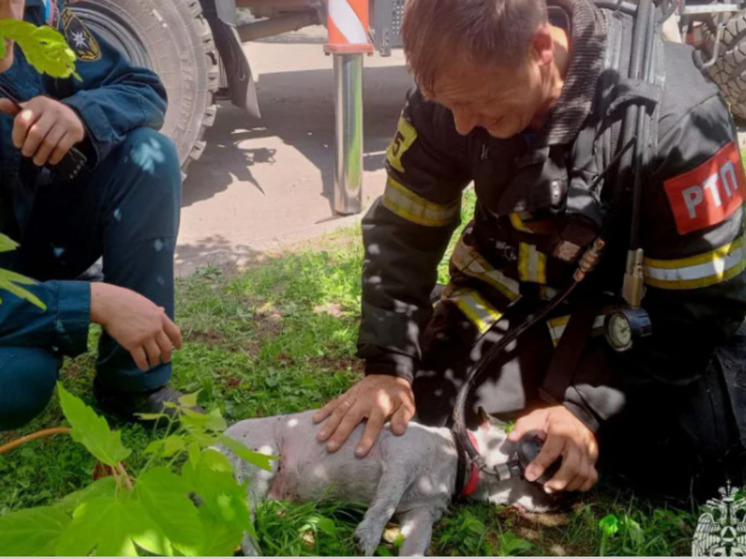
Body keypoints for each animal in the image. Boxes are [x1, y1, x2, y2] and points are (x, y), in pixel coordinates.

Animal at [224, 410, 556, 556]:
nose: (559, 500)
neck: (457, 456)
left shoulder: (421, 514)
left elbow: (416, 546)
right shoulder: (401, 461)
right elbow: (386, 503)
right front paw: (367, 538)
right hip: (262, 460)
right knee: (243, 524)